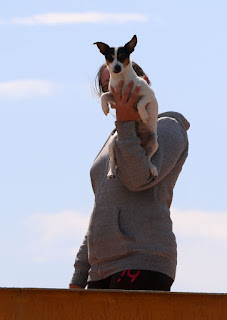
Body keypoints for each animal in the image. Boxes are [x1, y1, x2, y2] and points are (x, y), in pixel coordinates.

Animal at [94, 37, 158, 180]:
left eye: (123, 57)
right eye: (110, 58)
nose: (117, 67)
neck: (122, 80)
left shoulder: (149, 94)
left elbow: (140, 104)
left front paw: (143, 115)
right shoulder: (115, 97)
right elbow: (104, 96)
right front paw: (105, 109)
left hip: (154, 142)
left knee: (147, 158)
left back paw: (152, 168)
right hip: (112, 143)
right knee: (112, 160)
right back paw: (111, 172)